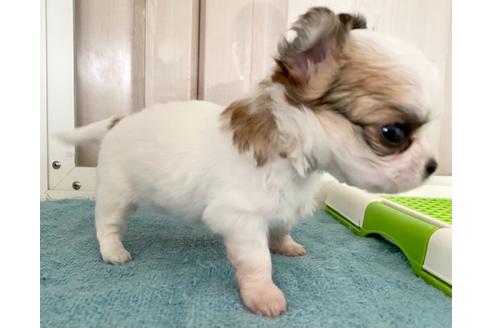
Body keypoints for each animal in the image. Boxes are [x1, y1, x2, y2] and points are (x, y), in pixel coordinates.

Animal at [61, 7, 442, 316]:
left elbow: (282, 227)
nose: (433, 166)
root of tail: (118, 121)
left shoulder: (282, 205)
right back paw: (113, 251)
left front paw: (285, 246)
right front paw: (264, 294)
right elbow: (258, 261)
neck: (290, 152)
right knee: (107, 223)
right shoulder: (241, 218)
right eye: (393, 133)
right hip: (117, 193)